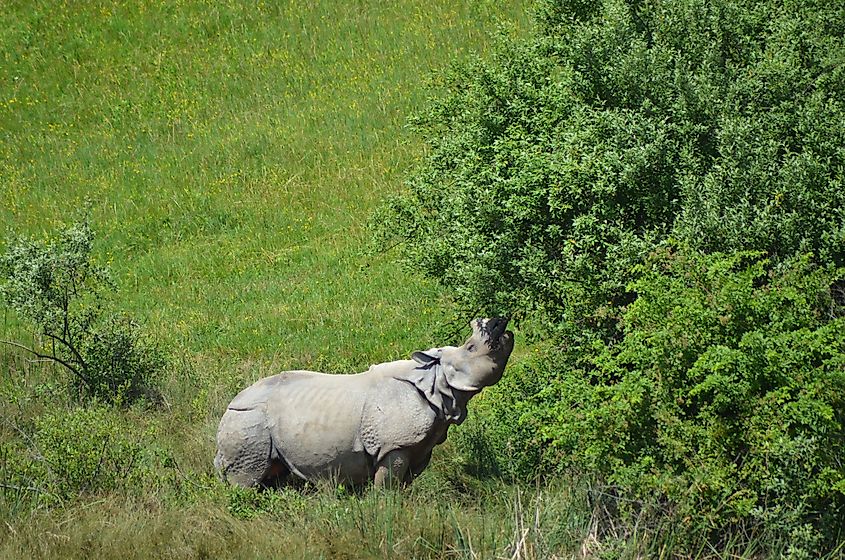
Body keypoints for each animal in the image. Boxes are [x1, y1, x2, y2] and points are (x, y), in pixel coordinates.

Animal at [214, 317, 514, 488]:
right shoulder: (394, 445)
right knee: (247, 480)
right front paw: (386, 513)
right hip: (247, 418)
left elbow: (404, 486)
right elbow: (386, 488)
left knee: (273, 474)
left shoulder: (420, 447)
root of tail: (228, 407)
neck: (435, 383)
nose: (501, 325)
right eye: (471, 348)